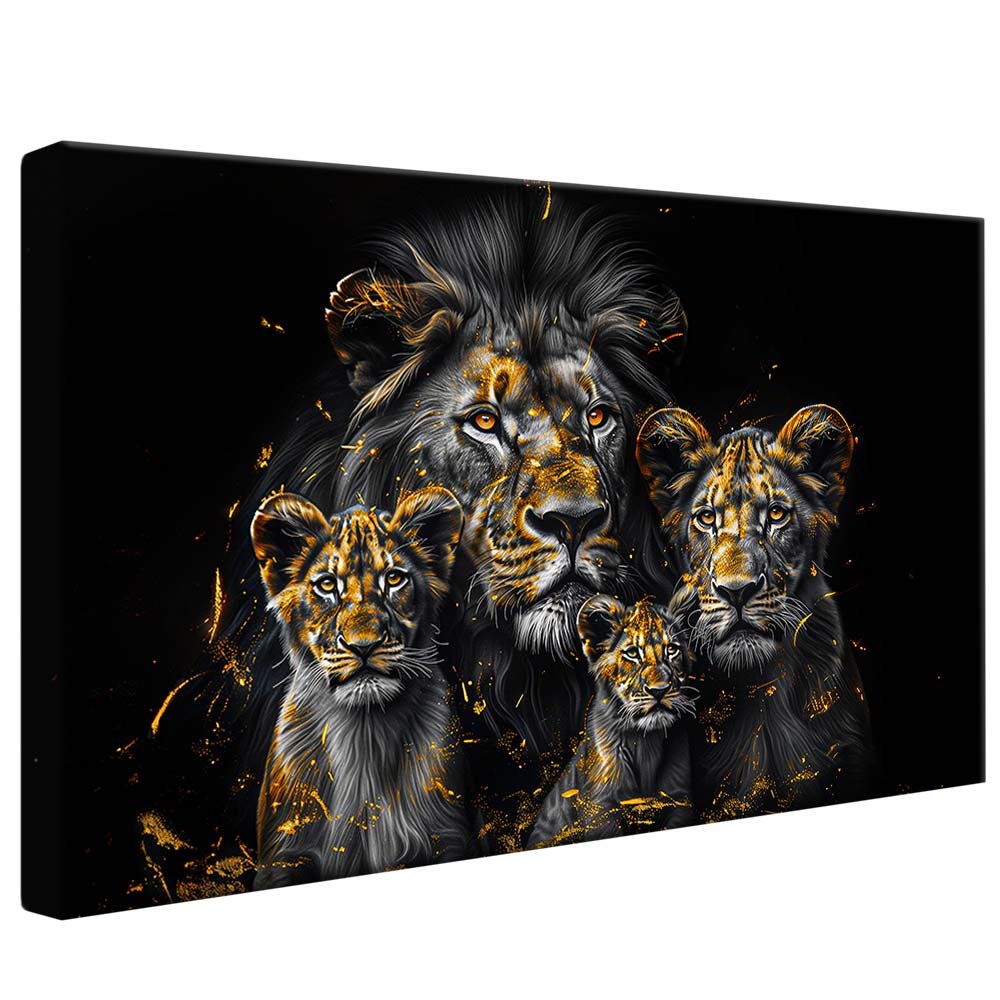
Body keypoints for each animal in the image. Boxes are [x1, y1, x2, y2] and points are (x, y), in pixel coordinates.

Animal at [250, 486, 475, 887]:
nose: (364, 644)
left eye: (394, 579)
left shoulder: (447, 838)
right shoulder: (284, 857)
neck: (365, 735)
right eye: (327, 585)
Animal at [527, 595, 696, 849]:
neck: (645, 742)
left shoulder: (679, 801)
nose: (659, 690)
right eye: (632, 653)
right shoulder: (600, 808)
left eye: (672, 650)